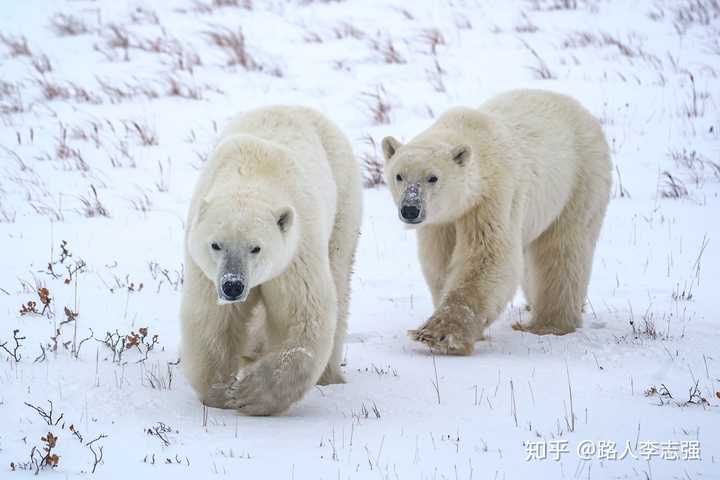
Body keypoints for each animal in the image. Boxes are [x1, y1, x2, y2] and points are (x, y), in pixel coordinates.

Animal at [180, 107, 360, 414]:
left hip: (343, 199)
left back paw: (329, 376)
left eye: (256, 248)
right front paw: (220, 392)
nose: (233, 286)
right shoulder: (205, 271)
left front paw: (250, 394)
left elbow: (302, 317)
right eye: (216, 245)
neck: (252, 172)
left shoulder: (296, 252)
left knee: (339, 277)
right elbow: (213, 320)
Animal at [380, 89, 612, 356]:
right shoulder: (441, 221)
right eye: (399, 175)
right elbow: (440, 263)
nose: (410, 209)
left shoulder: (493, 195)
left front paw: (439, 334)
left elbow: (488, 257)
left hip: (579, 179)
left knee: (563, 250)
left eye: (433, 177)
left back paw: (548, 325)